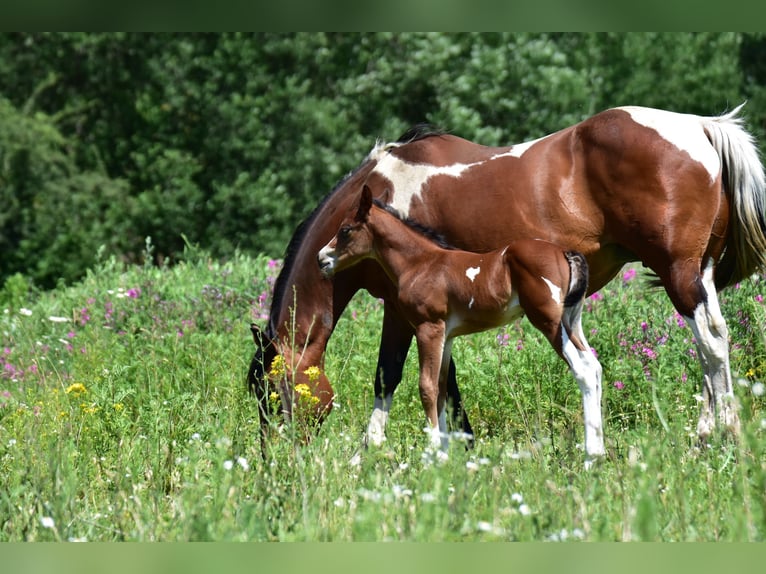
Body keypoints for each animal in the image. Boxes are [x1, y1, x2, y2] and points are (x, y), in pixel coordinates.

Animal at [318, 187, 608, 466]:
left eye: (345, 230)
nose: (322, 260)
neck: (421, 264)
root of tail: (563, 252)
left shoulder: (428, 328)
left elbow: (427, 387)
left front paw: (432, 455)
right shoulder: (446, 336)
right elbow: (442, 388)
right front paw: (445, 456)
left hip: (548, 320)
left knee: (582, 370)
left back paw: (590, 458)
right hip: (572, 321)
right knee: (593, 366)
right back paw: (598, 454)